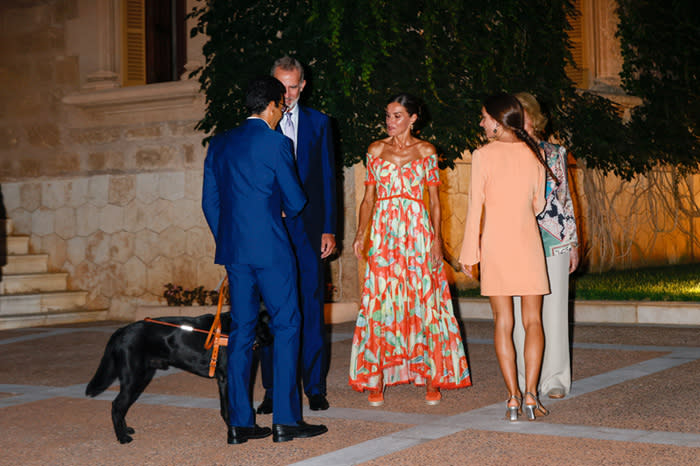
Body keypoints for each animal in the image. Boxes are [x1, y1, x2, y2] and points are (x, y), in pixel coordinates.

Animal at [86, 312, 272, 442]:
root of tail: (120, 331)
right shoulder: (226, 379)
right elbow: (229, 408)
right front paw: (238, 433)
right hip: (134, 379)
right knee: (117, 406)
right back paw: (122, 437)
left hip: (142, 379)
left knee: (121, 406)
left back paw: (125, 430)